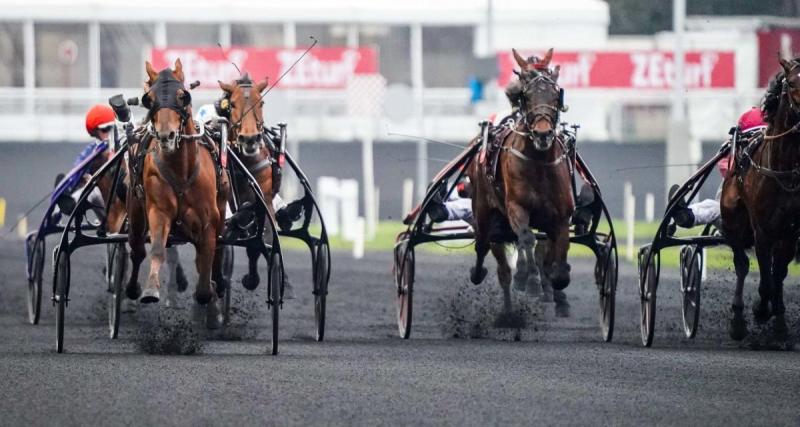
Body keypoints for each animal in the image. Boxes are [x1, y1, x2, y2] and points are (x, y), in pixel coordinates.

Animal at [125, 59, 230, 320]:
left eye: (182, 96)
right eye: (149, 99)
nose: (167, 136)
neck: (182, 169)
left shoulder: (208, 220)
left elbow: (207, 257)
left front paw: (211, 297)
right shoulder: (158, 210)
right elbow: (157, 249)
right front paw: (150, 290)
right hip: (135, 209)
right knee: (137, 249)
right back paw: (132, 289)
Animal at [466, 49, 572, 318]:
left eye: (555, 93)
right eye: (527, 94)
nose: (543, 133)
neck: (539, 161)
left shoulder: (561, 216)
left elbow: (557, 252)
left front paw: (557, 283)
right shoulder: (516, 208)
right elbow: (526, 239)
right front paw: (530, 281)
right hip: (485, 211)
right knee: (485, 247)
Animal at [720, 54, 800, 342]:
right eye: (791, 82)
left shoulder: (790, 231)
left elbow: (778, 274)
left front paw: (779, 322)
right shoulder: (762, 229)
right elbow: (764, 278)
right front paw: (760, 309)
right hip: (733, 221)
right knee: (742, 264)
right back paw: (738, 320)